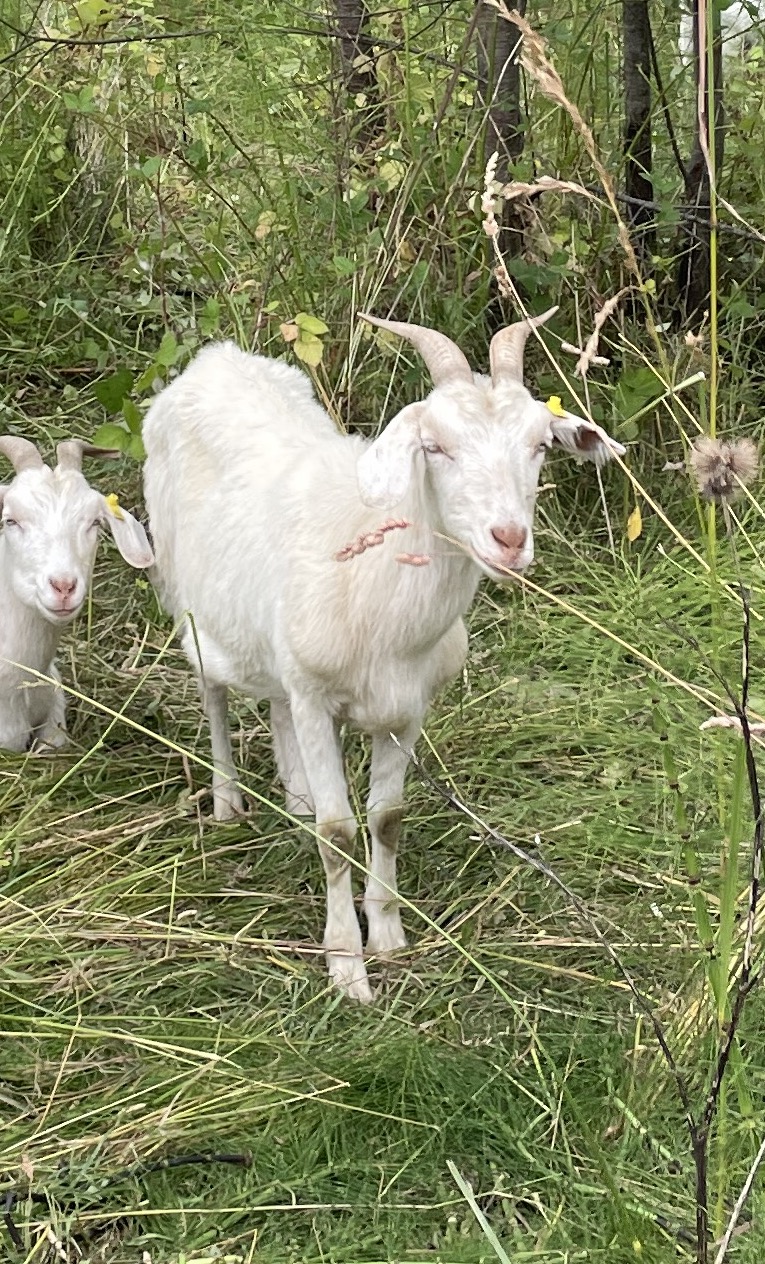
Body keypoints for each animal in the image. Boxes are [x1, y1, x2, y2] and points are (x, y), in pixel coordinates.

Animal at [142, 310, 625, 1002]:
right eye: (435, 446)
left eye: (539, 444)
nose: (509, 540)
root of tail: (216, 357)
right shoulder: (318, 701)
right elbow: (338, 832)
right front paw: (347, 965)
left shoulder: (406, 710)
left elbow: (387, 818)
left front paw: (390, 935)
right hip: (187, 597)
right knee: (213, 691)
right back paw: (228, 801)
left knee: (275, 703)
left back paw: (297, 797)